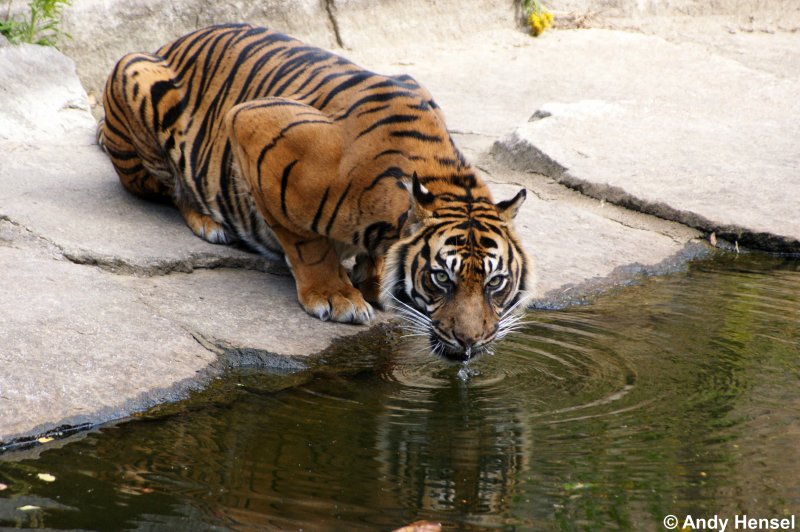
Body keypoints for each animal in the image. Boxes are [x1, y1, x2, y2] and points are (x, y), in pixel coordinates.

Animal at [100, 21, 536, 362]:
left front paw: (373, 280)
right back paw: (210, 223)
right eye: (442, 279)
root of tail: (166, 44)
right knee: (171, 186)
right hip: (134, 77)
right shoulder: (254, 124)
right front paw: (335, 296)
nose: (469, 342)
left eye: (495, 283)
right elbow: (307, 242)